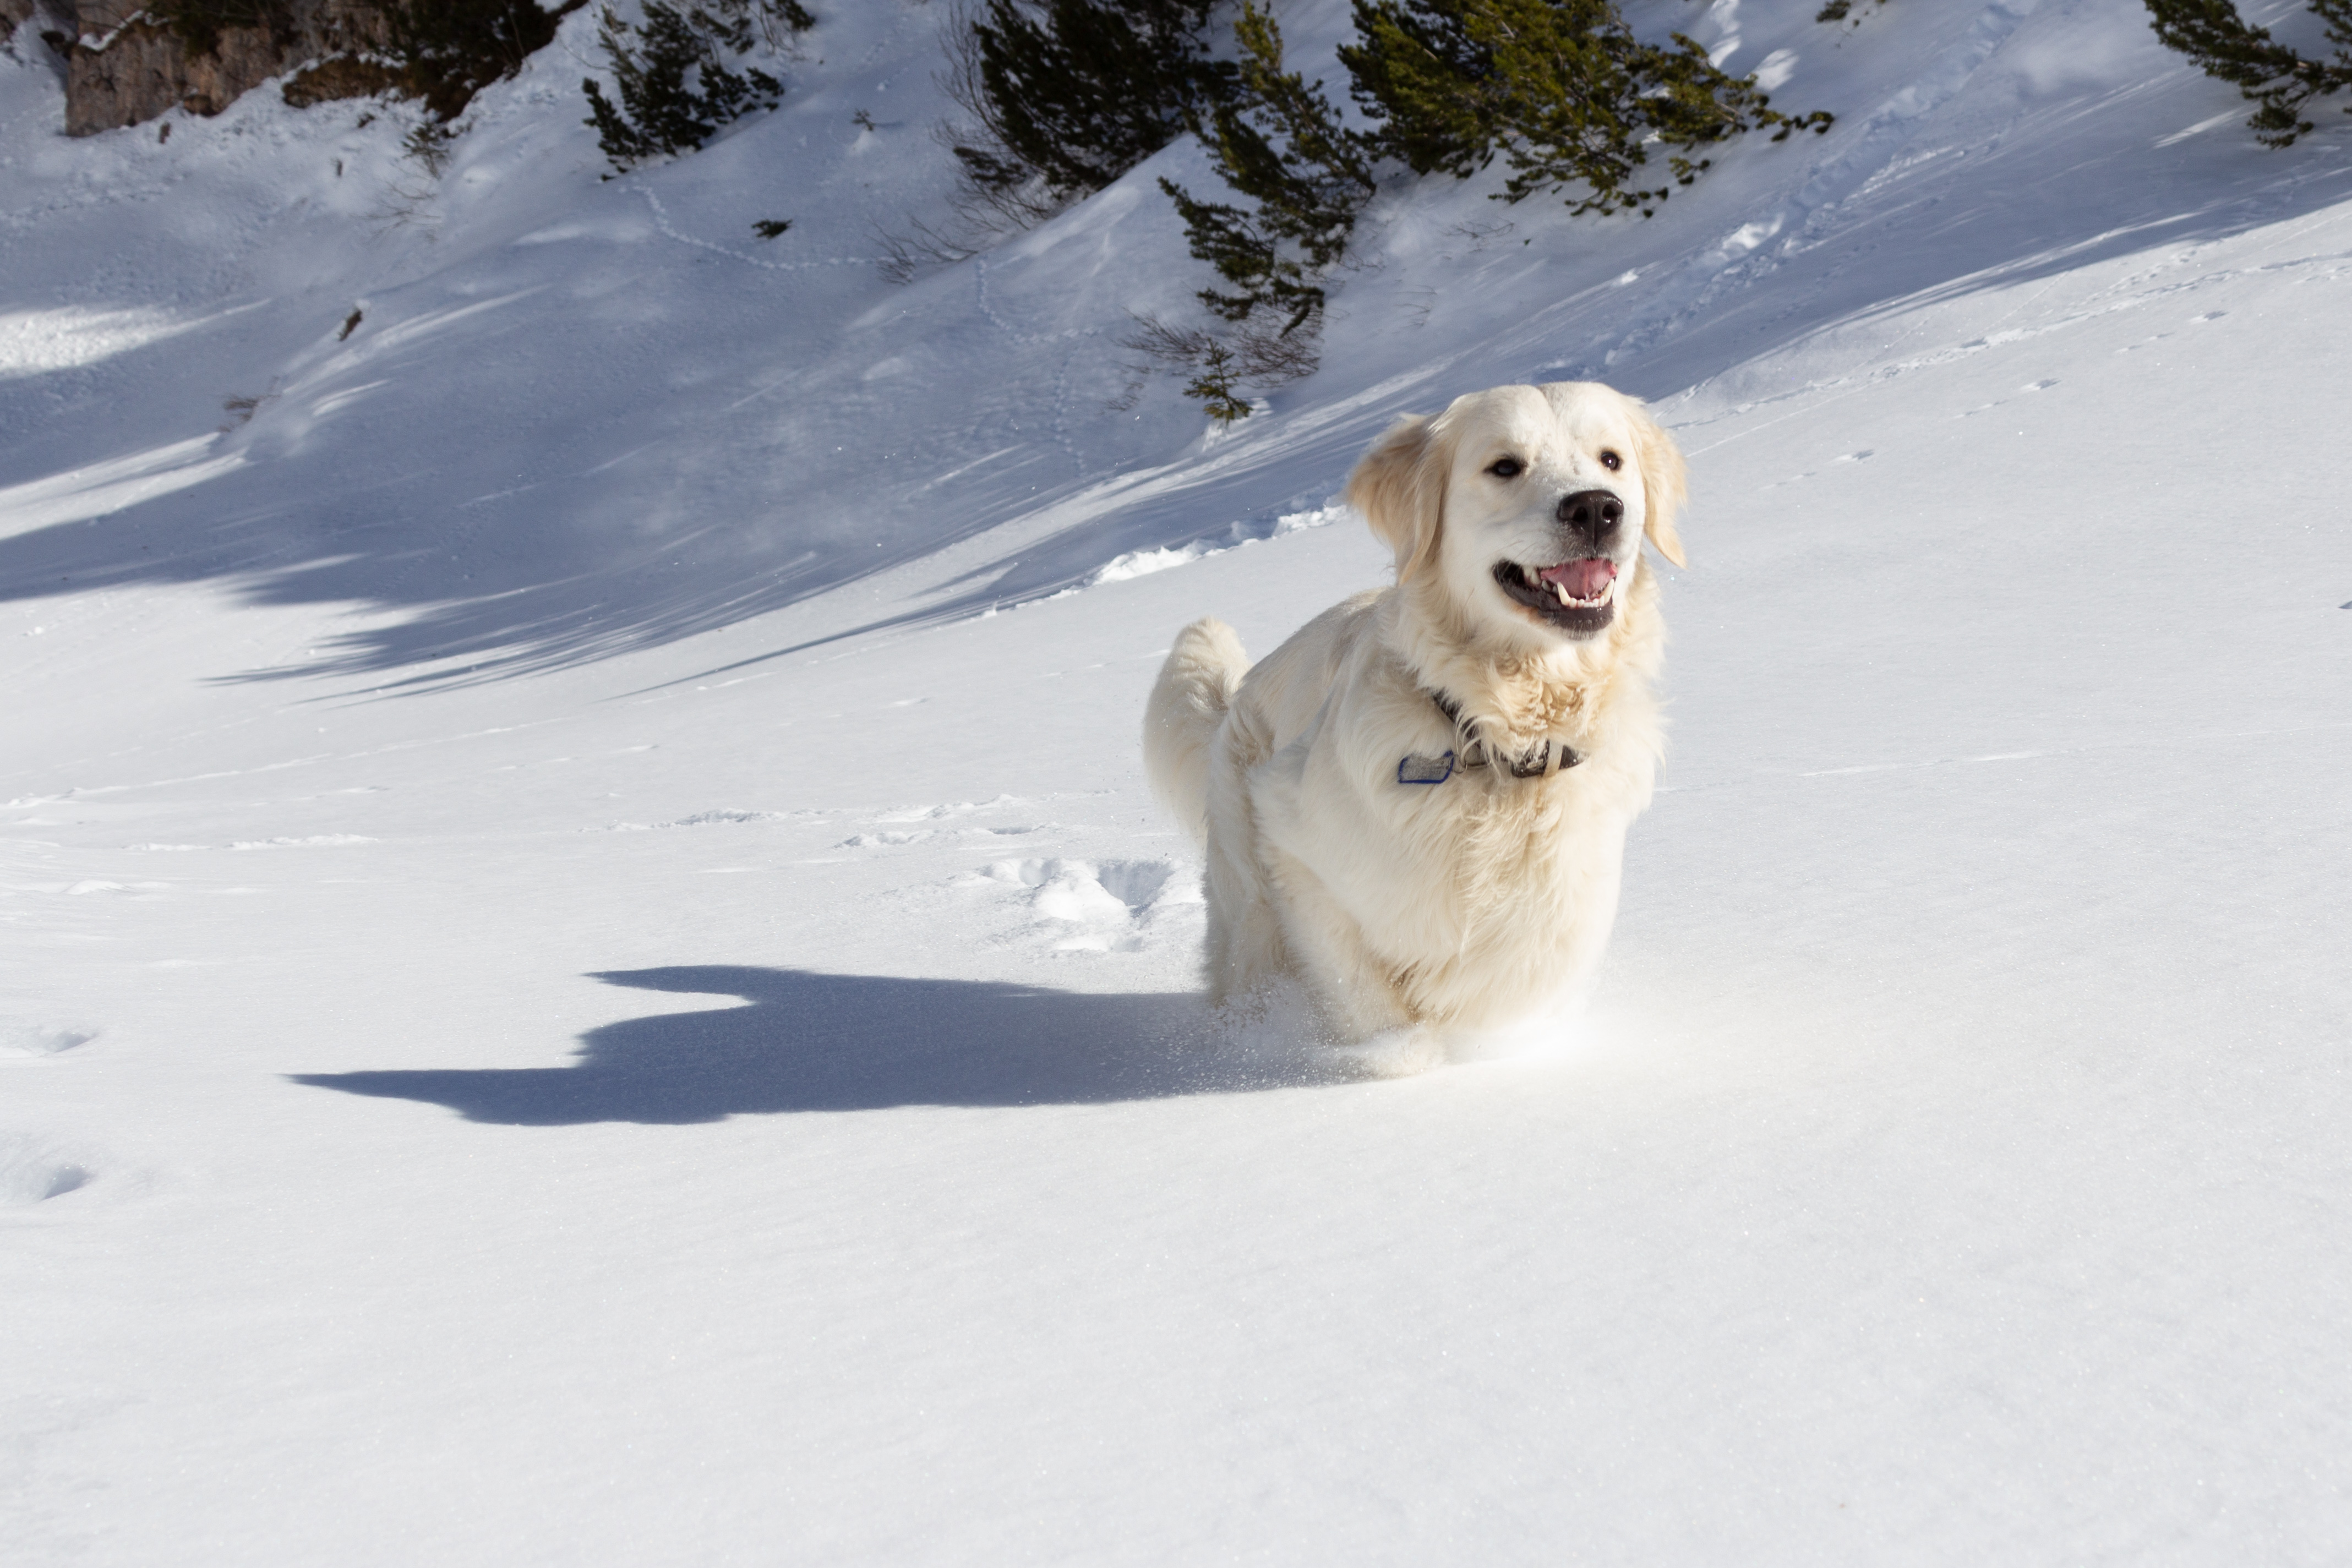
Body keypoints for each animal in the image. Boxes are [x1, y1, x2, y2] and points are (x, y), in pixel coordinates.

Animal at [1143, 380, 1684, 1067]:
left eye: (1610, 459)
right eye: (1504, 466)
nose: (1595, 508)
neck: (1490, 735)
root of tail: (1238, 691)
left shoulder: (1558, 909)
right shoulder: (1290, 837)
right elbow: (1373, 1008)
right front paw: (1397, 1049)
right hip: (1249, 898)